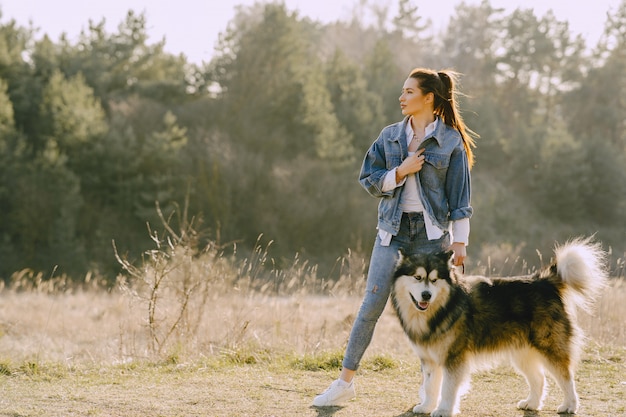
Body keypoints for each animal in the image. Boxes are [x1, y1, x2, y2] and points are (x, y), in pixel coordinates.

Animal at [390, 237, 604, 416]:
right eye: (417, 277)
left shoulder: (454, 358)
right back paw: (532, 403)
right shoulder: (429, 358)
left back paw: (570, 405)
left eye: (434, 280)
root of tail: (543, 281)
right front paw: (426, 406)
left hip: (549, 346)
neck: (440, 309)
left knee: (566, 377)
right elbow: (430, 385)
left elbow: (448, 388)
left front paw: (443, 410)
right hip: (522, 352)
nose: (426, 295)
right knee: (539, 378)